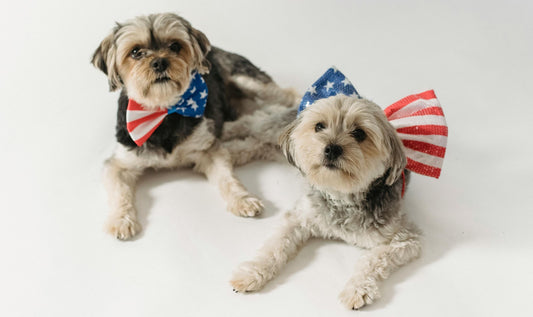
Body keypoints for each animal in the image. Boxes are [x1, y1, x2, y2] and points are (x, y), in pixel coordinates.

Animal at [89, 12, 294, 239]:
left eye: (175, 46)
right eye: (135, 52)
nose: (160, 62)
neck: (163, 113)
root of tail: (215, 49)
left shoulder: (207, 148)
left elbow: (227, 178)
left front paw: (242, 199)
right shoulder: (119, 163)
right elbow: (119, 192)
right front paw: (121, 220)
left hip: (249, 81)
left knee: (288, 95)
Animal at [231, 92, 422, 308]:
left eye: (359, 133)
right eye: (319, 126)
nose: (332, 148)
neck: (342, 197)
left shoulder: (405, 238)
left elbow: (373, 260)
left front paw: (357, 288)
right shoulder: (299, 217)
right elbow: (274, 248)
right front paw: (251, 272)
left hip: (275, 149)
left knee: (255, 145)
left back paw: (231, 152)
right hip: (271, 128)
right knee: (252, 122)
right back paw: (223, 140)